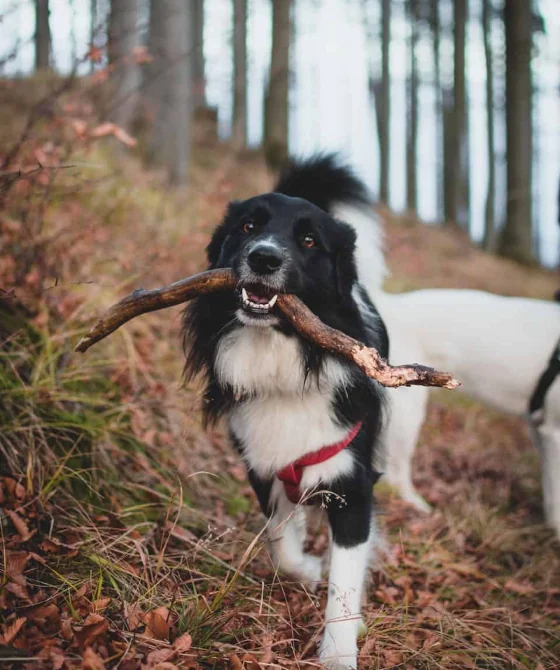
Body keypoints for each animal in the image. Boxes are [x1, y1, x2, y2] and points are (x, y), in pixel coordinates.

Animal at [182, 156, 388, 668]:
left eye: (310, 241)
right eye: (248, 226)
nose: (263, 258)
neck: (281, 355)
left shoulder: (353, 486)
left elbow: (344, 582)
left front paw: (338, 654)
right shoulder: (263, 463)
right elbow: (281, 540)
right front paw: (306, 567)